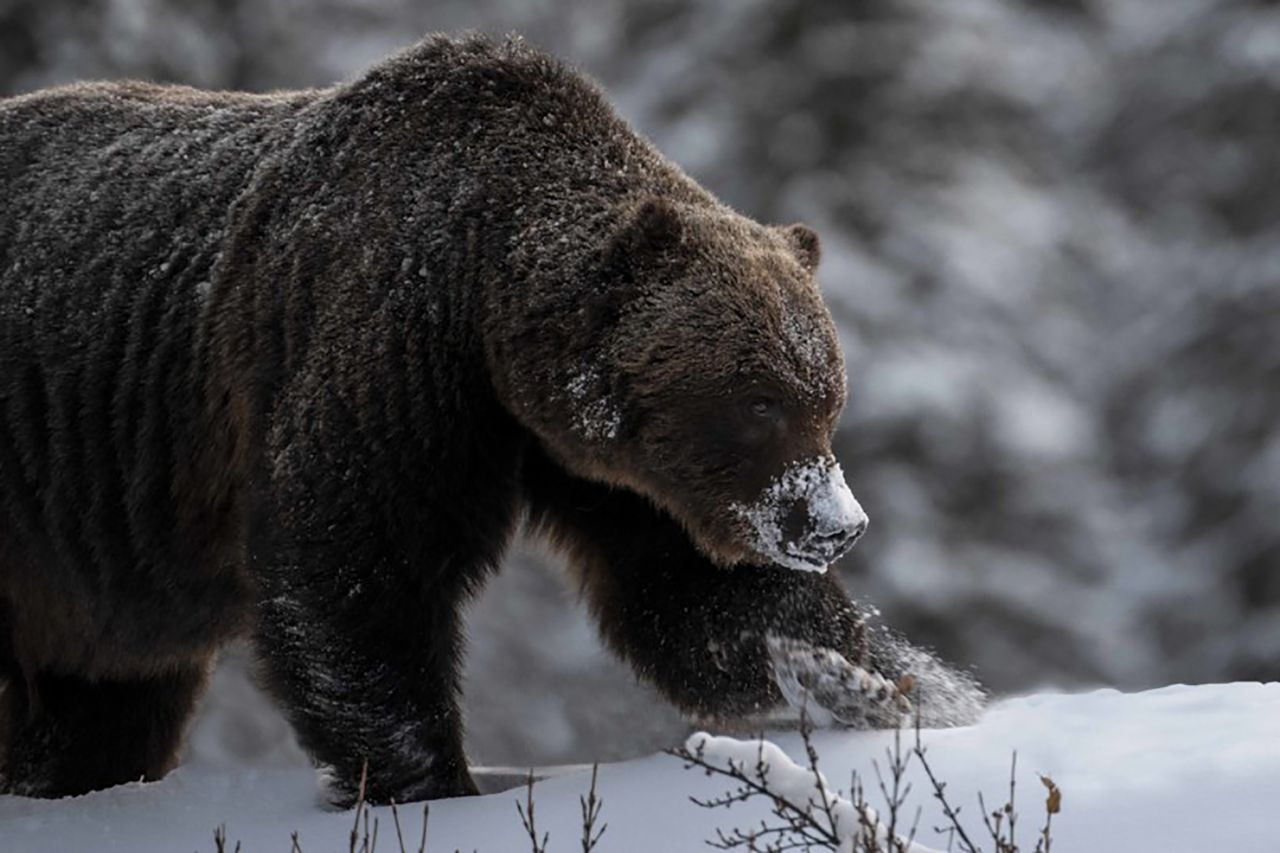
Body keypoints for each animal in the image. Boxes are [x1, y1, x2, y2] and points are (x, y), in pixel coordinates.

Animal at [0, 34, 977, 804]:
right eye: (758, 401)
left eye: (828, 397)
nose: (837, 525)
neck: (484, 310)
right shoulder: (391, 358)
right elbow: (353, 567)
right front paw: (433, 778)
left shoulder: (586, 461)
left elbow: (695, 596)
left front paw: (872, 679)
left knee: (115, 706)